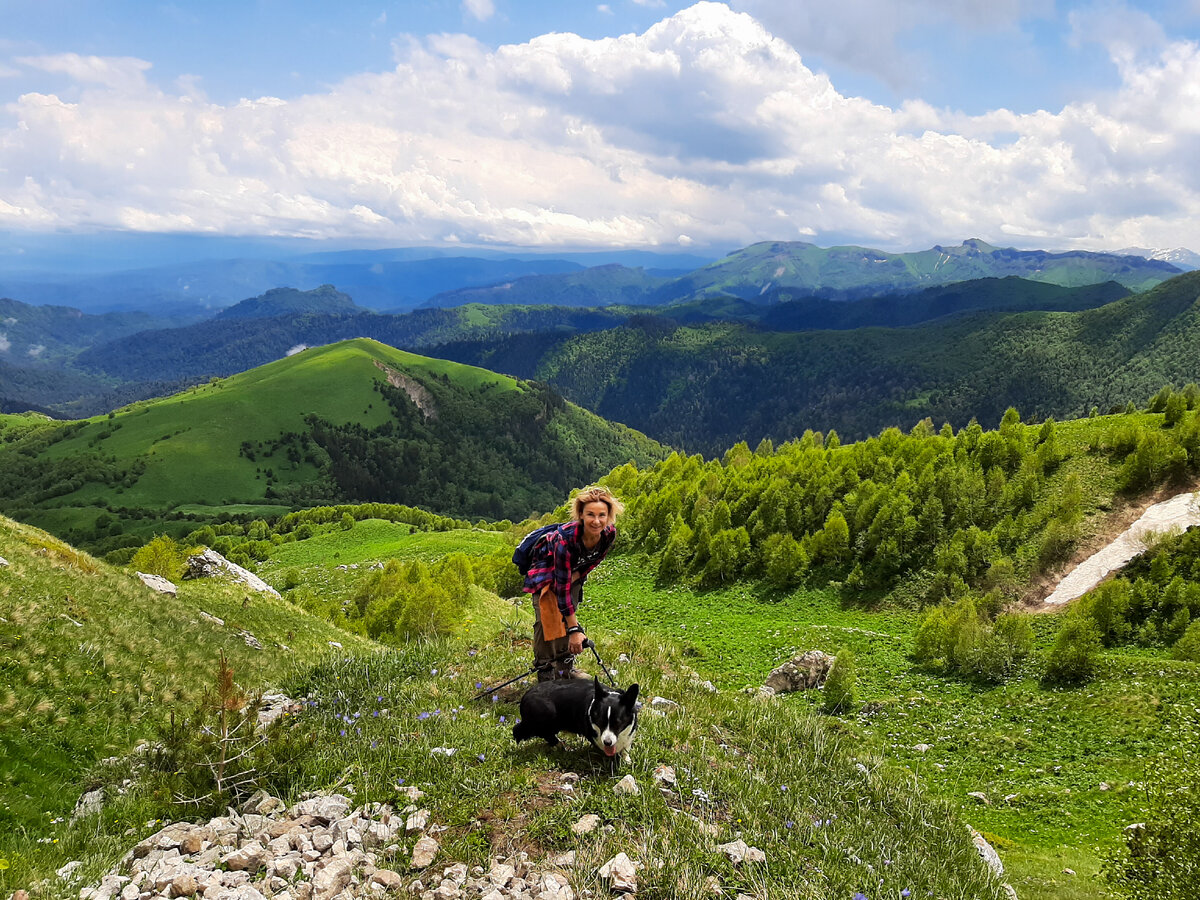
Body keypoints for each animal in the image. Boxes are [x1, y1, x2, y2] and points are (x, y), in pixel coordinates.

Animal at [508, 681, 638, 763]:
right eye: (600, 721)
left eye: (618, 723)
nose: (607, 742)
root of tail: (525, 697)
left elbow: (625, 747)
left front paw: (626, 760)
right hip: (547, 716)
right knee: (537, 732)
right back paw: (562, 746)